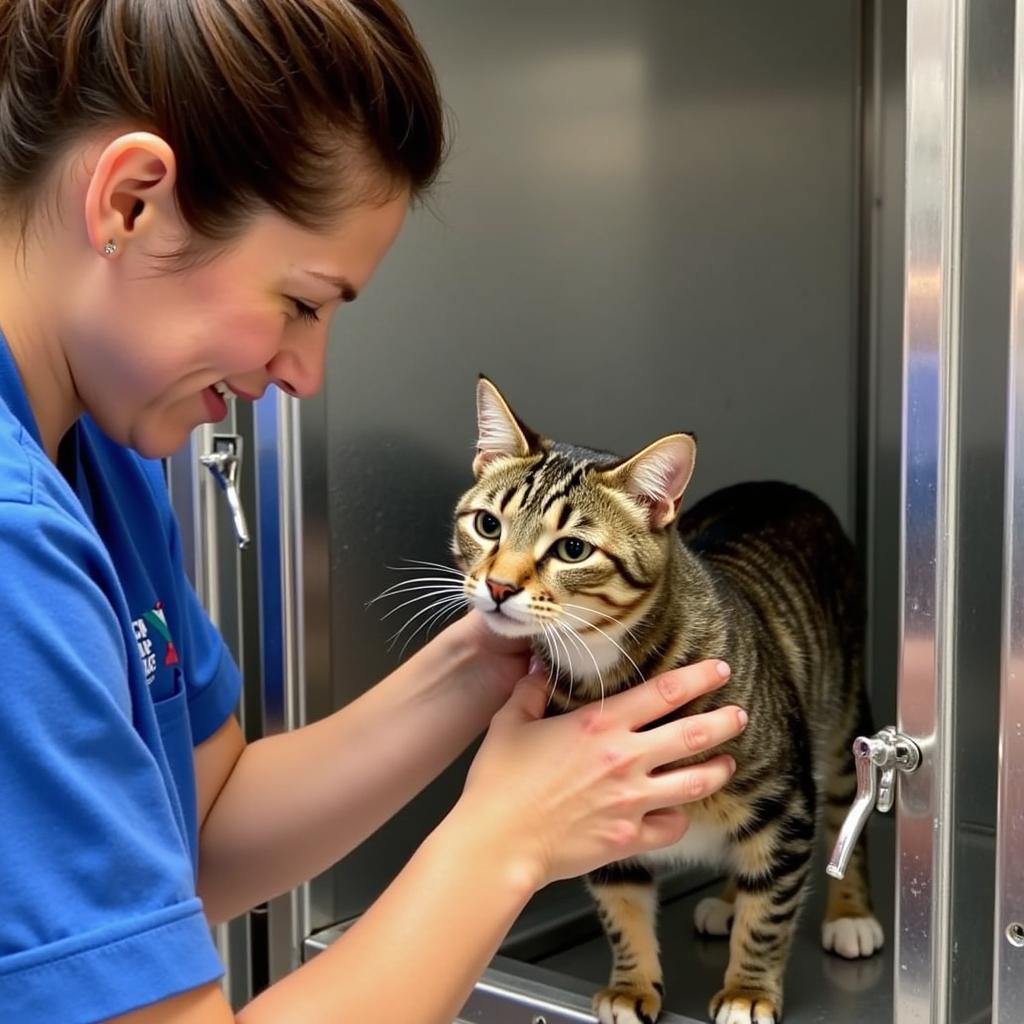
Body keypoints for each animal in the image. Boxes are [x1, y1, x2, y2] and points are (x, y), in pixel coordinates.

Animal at [452, 378, 884, 1024]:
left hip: (838, 710)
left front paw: (748, 989)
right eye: (486, 525)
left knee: (840, 802)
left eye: (572, 550)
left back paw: (850, 914)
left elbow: (770, 908)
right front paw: (632, 986)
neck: (605, 668)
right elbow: (621, 906)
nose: (500, 586)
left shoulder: (785, 800)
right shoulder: (601, 812)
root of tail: (781, 487)